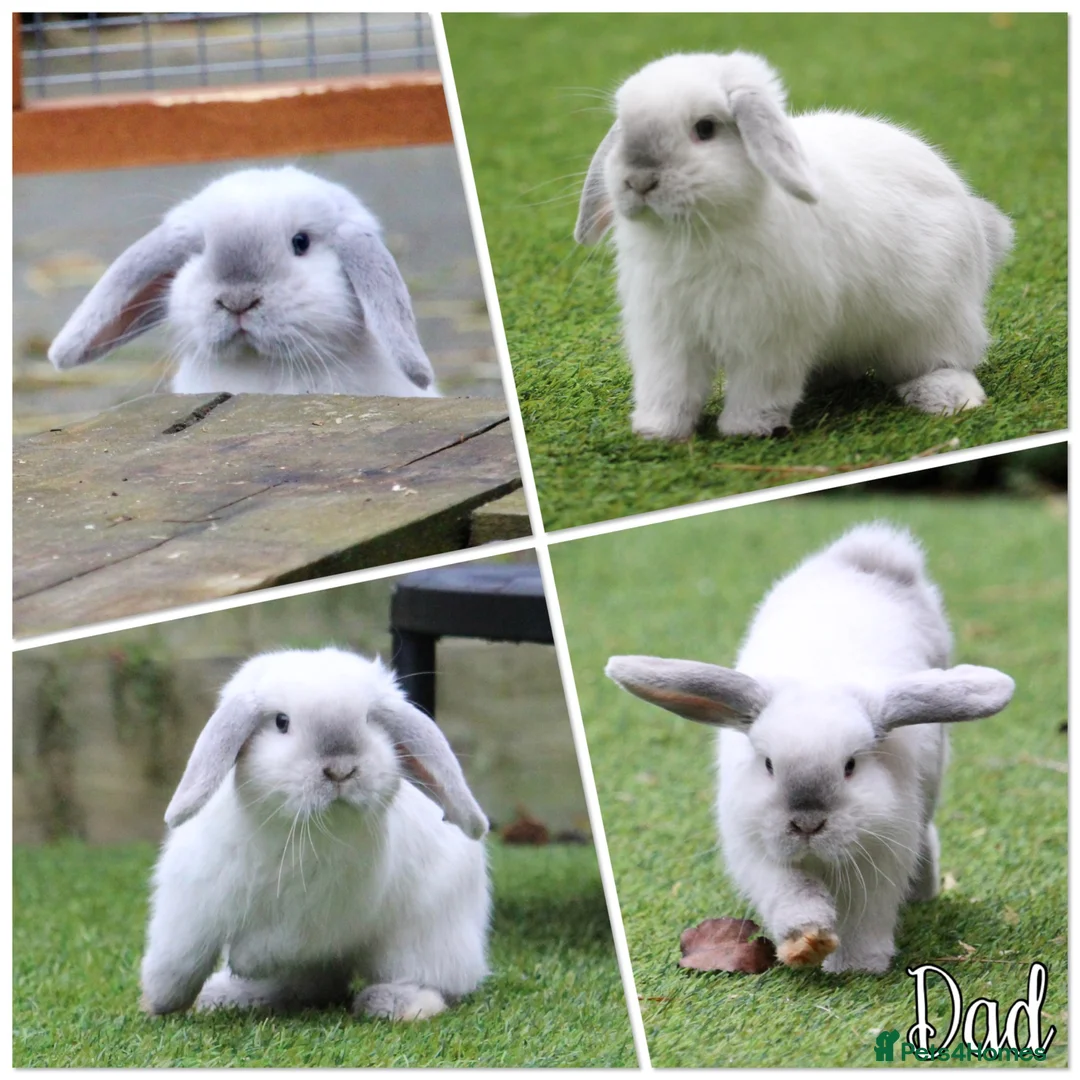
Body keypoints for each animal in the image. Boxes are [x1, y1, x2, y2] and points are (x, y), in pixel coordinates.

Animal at [139, 647, 490, 1021]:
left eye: (370, 720)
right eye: (281, 722)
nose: (341, 770)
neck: (288, 831)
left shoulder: (316, 922)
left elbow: (270, 946)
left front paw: (242, 961)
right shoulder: (190, 907)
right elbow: (177, 961)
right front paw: (157, 1003)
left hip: (424, 940)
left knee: (430, 982)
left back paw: (392, 1003)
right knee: (306, 985)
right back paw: (231, 995)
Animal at [575, 52, 1014, 440]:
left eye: (705, 128)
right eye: (622, 127)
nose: (639, 180)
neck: (697, 232)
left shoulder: (771, 335)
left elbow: (760, 387)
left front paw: (746, 429)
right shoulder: (665, 336)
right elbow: (668, 387)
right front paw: (657, 431)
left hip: (933, 323)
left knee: (946, 360)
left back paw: (945, 396)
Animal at [606, 523, 1015, 973]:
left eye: (850, 766)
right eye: (768, 765)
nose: (806, 824)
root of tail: (871, 555)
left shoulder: (879, 855)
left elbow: (864, 915)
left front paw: (857, 966)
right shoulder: (761, 854)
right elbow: (793, 896)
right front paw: (806, 938)